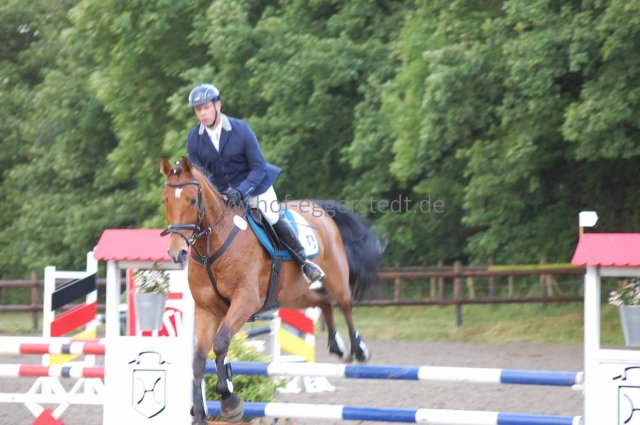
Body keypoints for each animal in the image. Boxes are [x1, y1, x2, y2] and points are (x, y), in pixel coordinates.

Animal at [160, 156, 384, 424]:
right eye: (165, 200)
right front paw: (199, 413)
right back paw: (336, 345)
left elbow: (221, 343)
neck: (211, 247)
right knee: (322, 301)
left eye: (192, 200)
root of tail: (317, 208)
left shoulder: (245, 302)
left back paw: (358, 349)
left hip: (336, 276)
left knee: (345, 303)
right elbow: (198, 360)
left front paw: (229, 400)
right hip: (292, 295)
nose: (177, 252)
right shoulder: (207, 310)